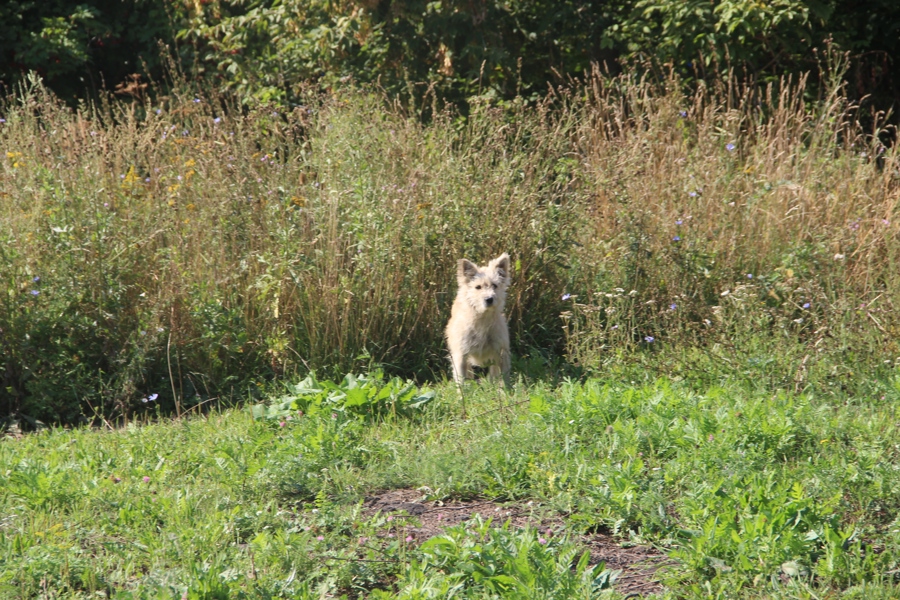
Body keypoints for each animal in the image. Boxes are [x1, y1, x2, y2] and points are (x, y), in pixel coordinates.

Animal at [444, 252, 510, 384]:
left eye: (495, 285)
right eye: (478, 287)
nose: (489, 299)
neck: (482, 319)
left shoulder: (501, 353)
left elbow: (504, 379)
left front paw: (506, 390)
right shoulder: (461, 356)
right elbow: (461, 381)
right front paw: (462, 390)